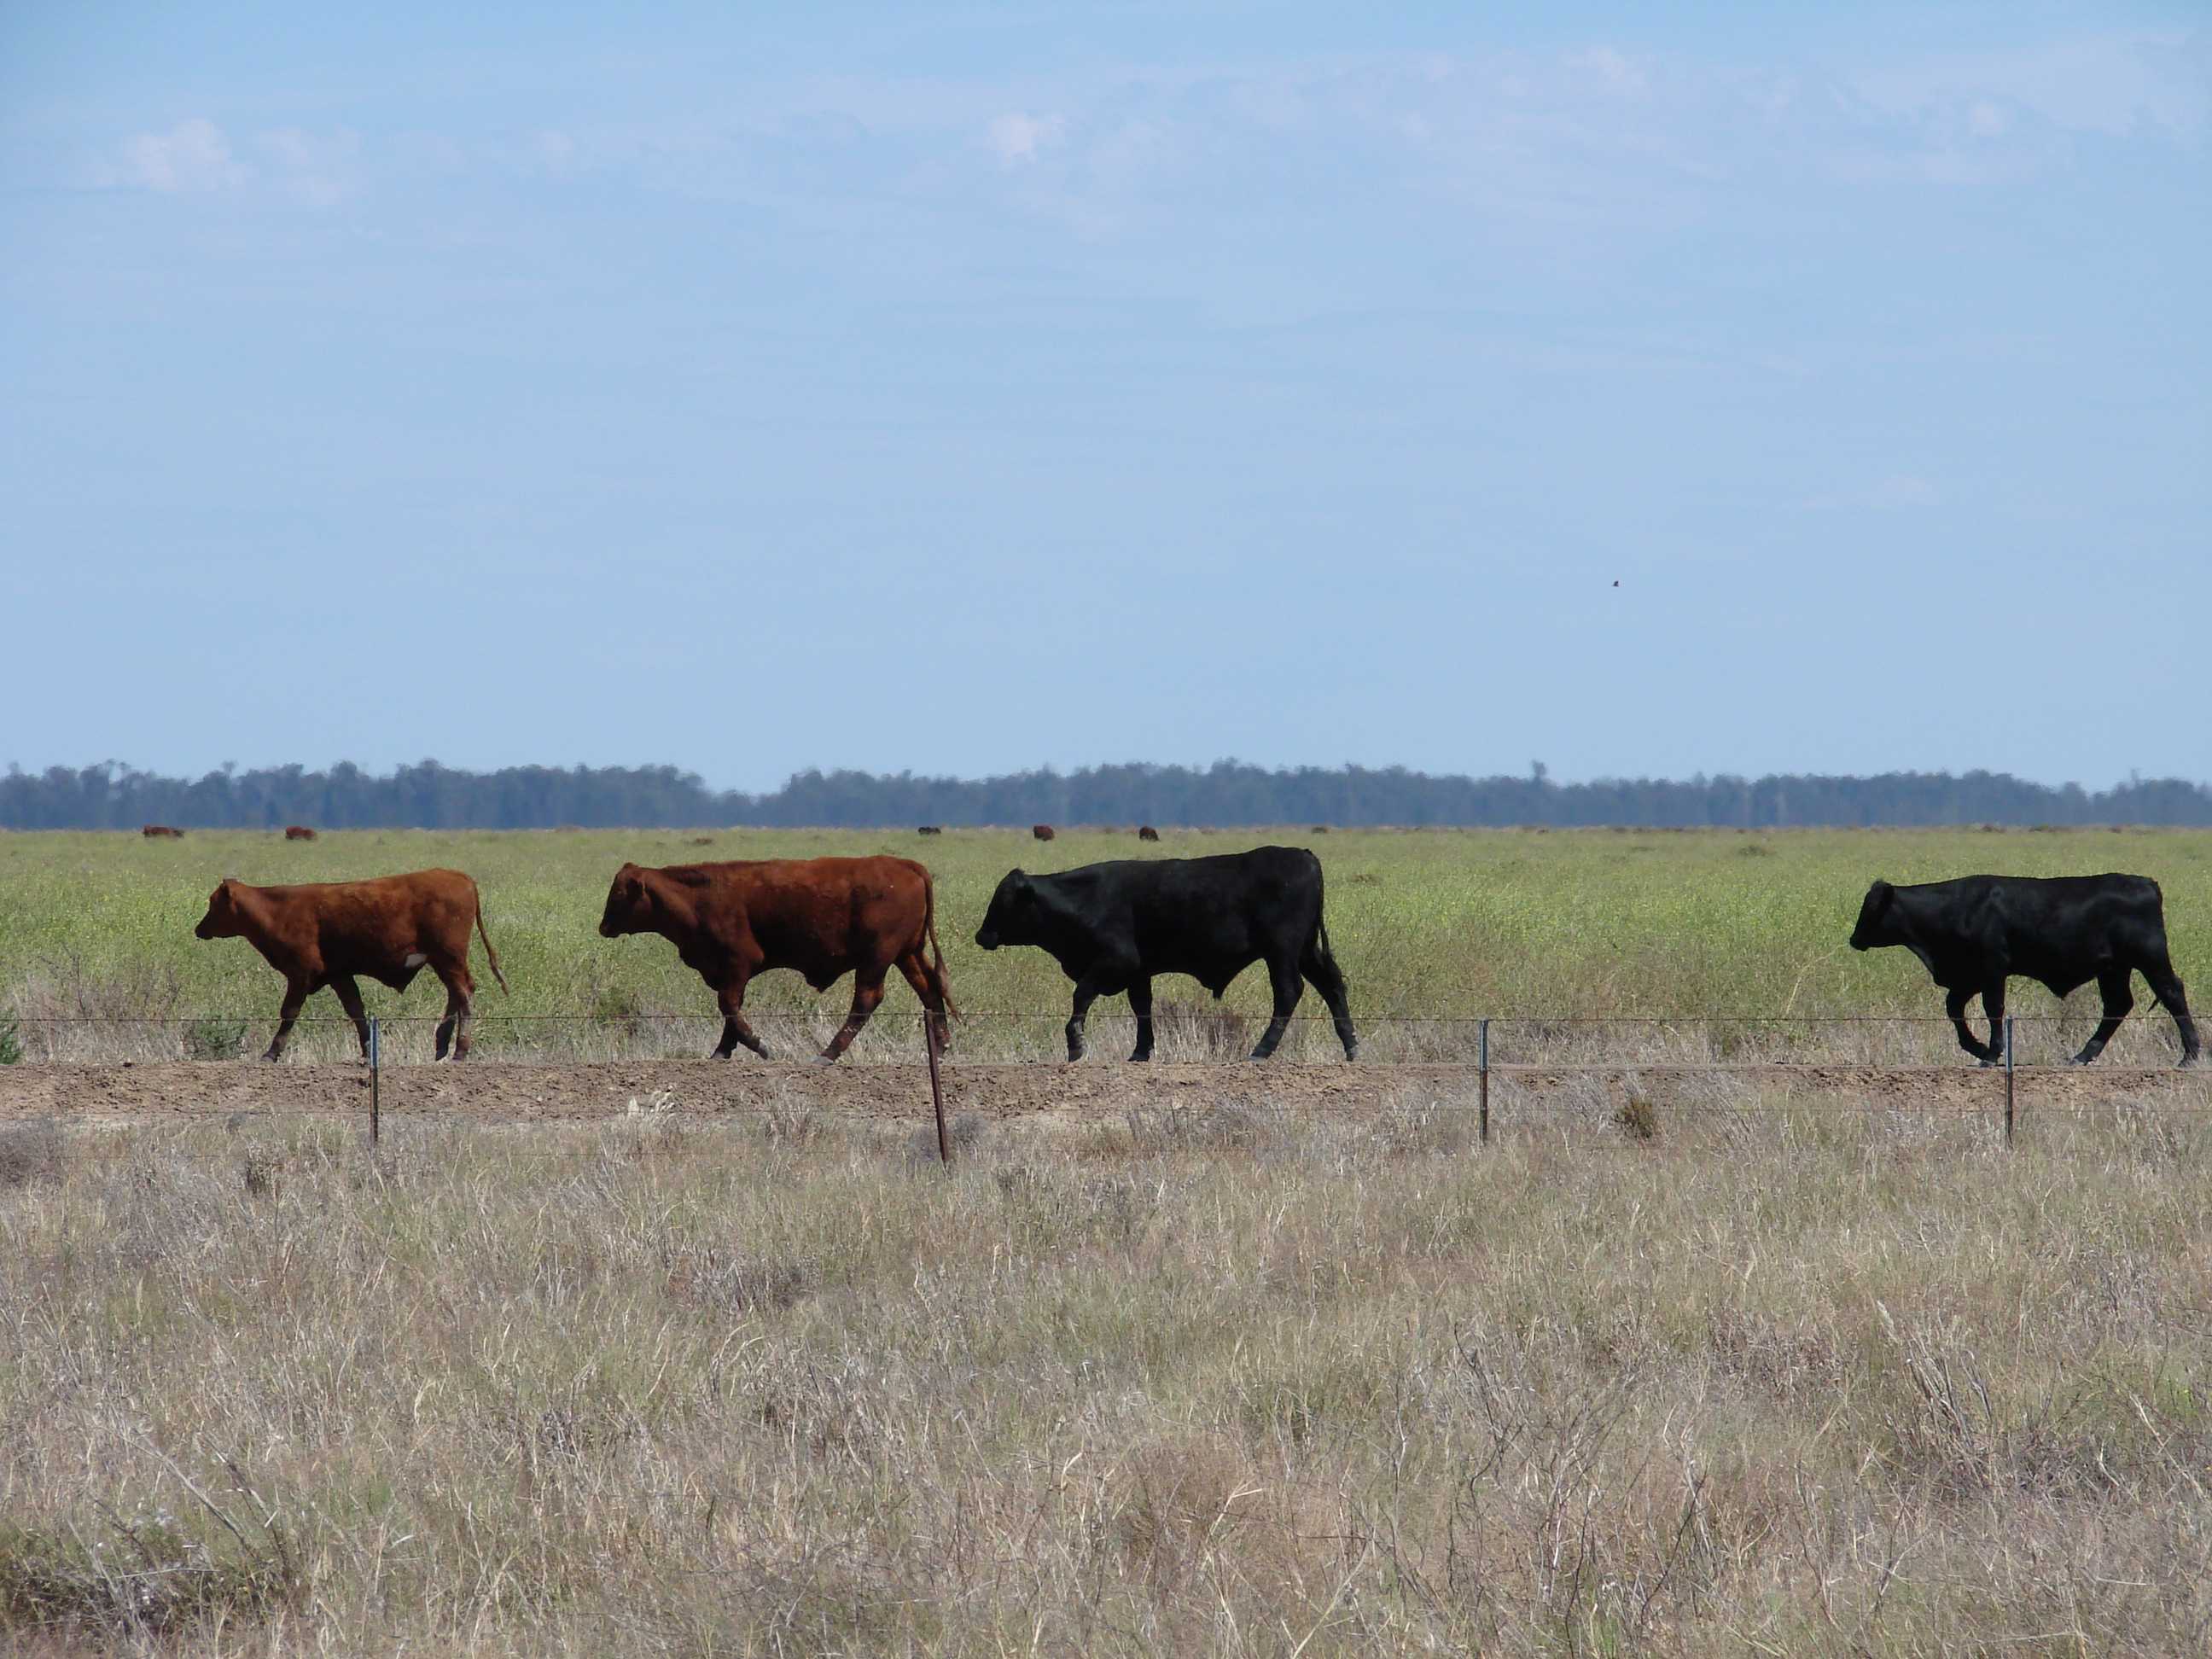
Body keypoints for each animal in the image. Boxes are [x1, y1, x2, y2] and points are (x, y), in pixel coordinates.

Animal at [194, 869, 507, 1061]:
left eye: (213, 903)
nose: (199, 929)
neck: (276, 909)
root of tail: (459, 876)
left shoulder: (300, 974)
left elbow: (289, 1013)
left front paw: (271, 1053)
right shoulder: (339, 975)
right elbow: (356, 1011)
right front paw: (368, 1051)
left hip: (448, 957)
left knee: (463, 993)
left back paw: (459, 1050)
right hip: (443, 961)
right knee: (456, 993)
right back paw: (442, 1044)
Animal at [597, 857, 955, 1062]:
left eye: (619, 893)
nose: (603, 927)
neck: (698, 896)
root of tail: (907, 865)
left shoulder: (737, 964)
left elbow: (729, 1006)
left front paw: (758, 1046)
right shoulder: (731, 973)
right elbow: (732, 1010)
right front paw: (722, 1052)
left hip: (877, 959)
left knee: (867, 1000)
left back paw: (826, 1055)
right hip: (908, 955)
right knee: (930, 990)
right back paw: (942, 1048)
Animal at [974, 845, 1357, 1062]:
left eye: (1003, 901)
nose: (981, 935)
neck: (1083, 898)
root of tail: (1303, 855)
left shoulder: (1116, 961)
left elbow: (1081, 995)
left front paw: (1076, 1044)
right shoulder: (1139, 972)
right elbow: (1142, 1009)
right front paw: (1140, 1052)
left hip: (1282, 951)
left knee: (1289, 992)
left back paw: (1261, 1051)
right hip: (1306, 950)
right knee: (1332, 985)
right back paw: (1351, 1045)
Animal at [1850, 874, 2199, 1067]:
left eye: (1870, 907)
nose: (1853, 939)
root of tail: (2146, 883)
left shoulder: (1992, 968)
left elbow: (1993, 1009)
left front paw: (1991, 1054)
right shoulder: (1969, 976)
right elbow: (1954, 1009)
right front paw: (1977, 1047)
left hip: (2150, 958)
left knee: (2172, 993)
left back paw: (2191, 1056)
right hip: (2113, 968)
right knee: (2118, 1005)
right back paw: (2083, 1055)